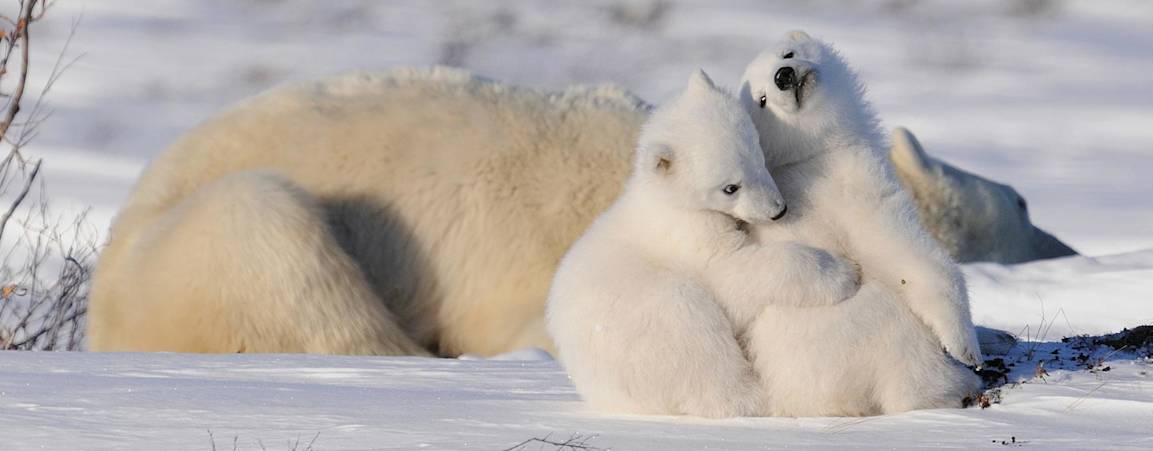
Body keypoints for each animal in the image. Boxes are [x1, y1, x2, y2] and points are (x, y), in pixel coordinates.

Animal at [546, 68, 857, 417]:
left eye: (758, 154)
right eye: (730, 187)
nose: (779, 210)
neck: (669, 201)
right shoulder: (688, 237)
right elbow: (732, 274)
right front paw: (841, 273)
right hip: (655, 327)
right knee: (699, 342)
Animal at [737, 29, 982, 415]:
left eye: (787, 53)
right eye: (761, 100)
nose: (784, 76)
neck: (810, 154)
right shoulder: (852, 184)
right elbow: (902, 250)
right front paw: (966, 346)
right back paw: (956, 387)